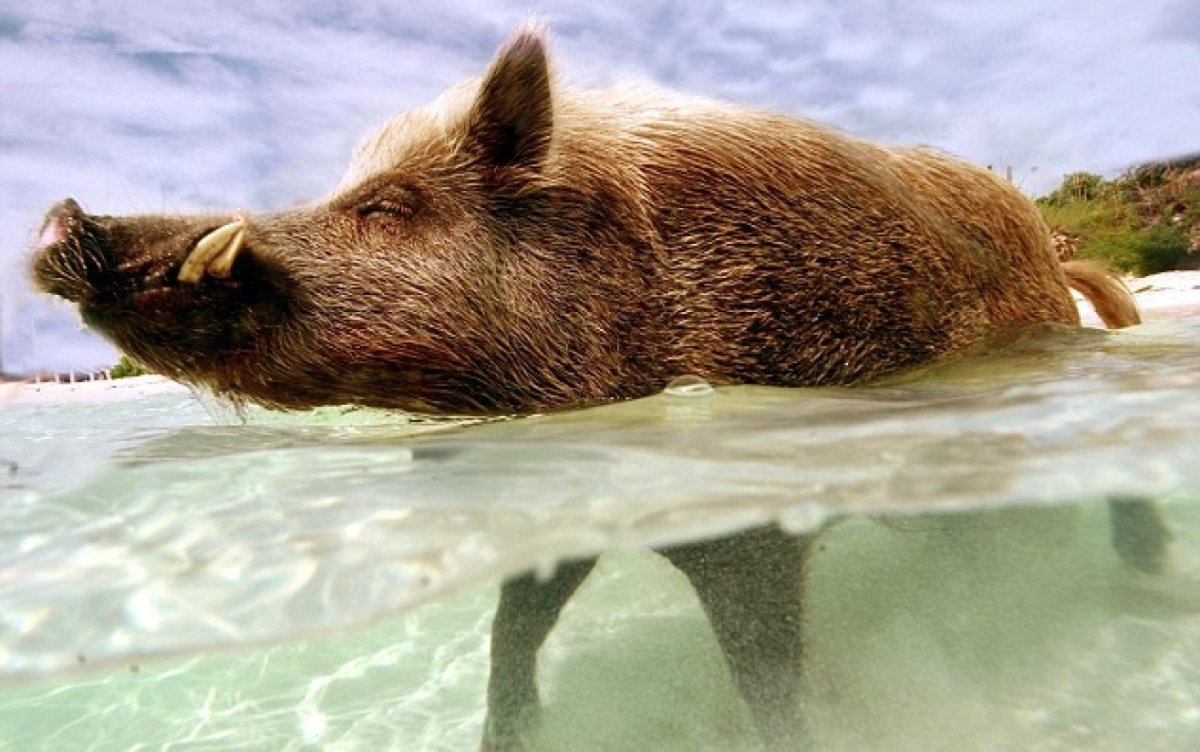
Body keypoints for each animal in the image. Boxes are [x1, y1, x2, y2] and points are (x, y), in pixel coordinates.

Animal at [32, 26, 1164, 752]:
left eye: (386, 205)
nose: (62, 220)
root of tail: (1048, 242)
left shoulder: (750, 527)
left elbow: (766, 671)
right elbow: (515, 624)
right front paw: (511, 733)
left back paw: (1145, 581)